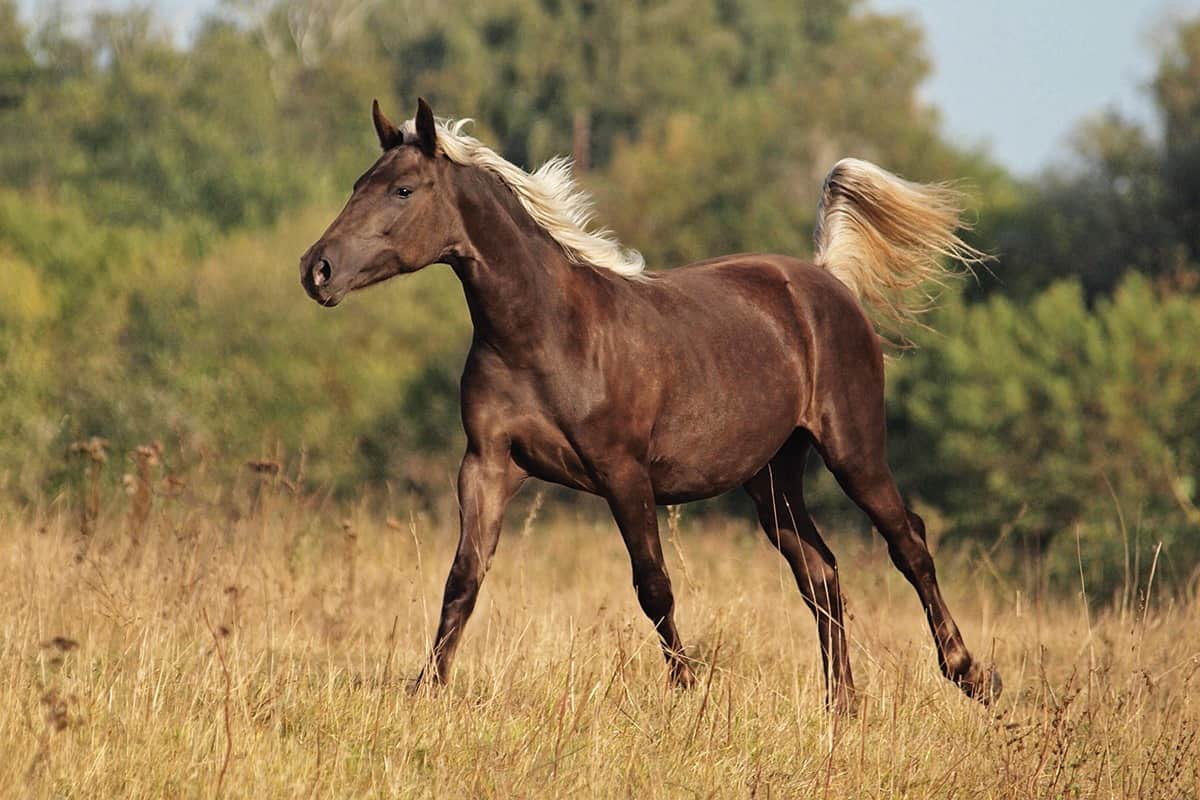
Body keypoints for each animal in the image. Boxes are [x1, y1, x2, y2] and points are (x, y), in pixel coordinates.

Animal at [299, 98, 1000, 712]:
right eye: (360, 182)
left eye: (402, 191)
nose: (317, 269)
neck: (547, 333)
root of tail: (827, 280)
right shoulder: (488, 465)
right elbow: (463, 578)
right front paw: (426, 689)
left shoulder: (624, 473)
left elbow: (654, 586)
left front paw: (689, 692)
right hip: (772, 478)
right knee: (820, 574)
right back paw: (842, 706)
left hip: (853, 451)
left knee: (908, 543)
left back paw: (971, 676)